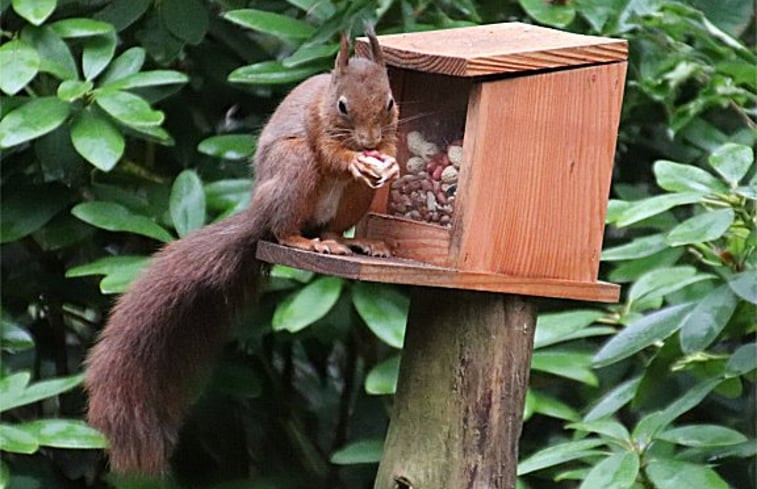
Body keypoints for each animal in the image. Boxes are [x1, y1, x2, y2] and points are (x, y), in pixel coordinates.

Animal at [85, 28, 398, 474]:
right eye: (342, 106)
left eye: (390, 102)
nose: (370, 143)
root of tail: (259, 212)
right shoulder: (317, 127)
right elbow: (331, 153)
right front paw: (355, 160)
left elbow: (394, 145)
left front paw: (389, 161)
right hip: (293, 168)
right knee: (284, 229)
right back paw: (304, 240)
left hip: (353, 203)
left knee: (336, 226)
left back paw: (353, 240)